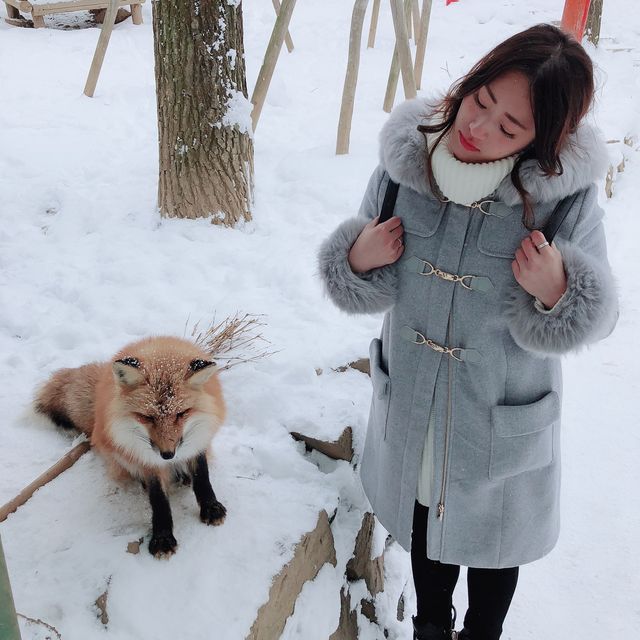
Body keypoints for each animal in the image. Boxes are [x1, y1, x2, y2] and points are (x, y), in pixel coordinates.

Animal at [35, 338, 228, 556]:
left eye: (181, 414)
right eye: (147, 417)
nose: (167, 455)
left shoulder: (199, 439)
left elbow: (202, 477)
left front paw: (211, 507)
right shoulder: (145, 456)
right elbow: (158, 498)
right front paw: (162, 538)